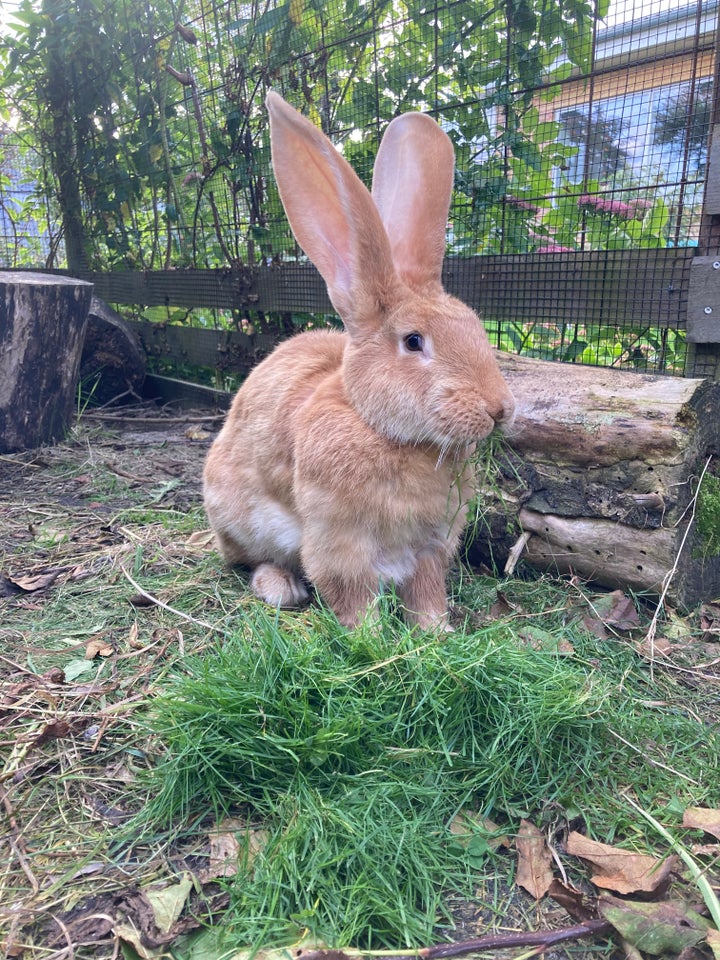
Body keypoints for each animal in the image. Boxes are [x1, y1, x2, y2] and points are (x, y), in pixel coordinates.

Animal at [202, 90, 516, 632]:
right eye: (414, 341)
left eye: (476, 328)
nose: (500, 409)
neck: (382, 429)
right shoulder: (338, 544)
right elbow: (352, 595)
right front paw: (373, 638)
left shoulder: (430, 547)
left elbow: (425, 592)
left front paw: (436, 632)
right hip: (237, 518)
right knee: (247, 561)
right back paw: (280, 587)